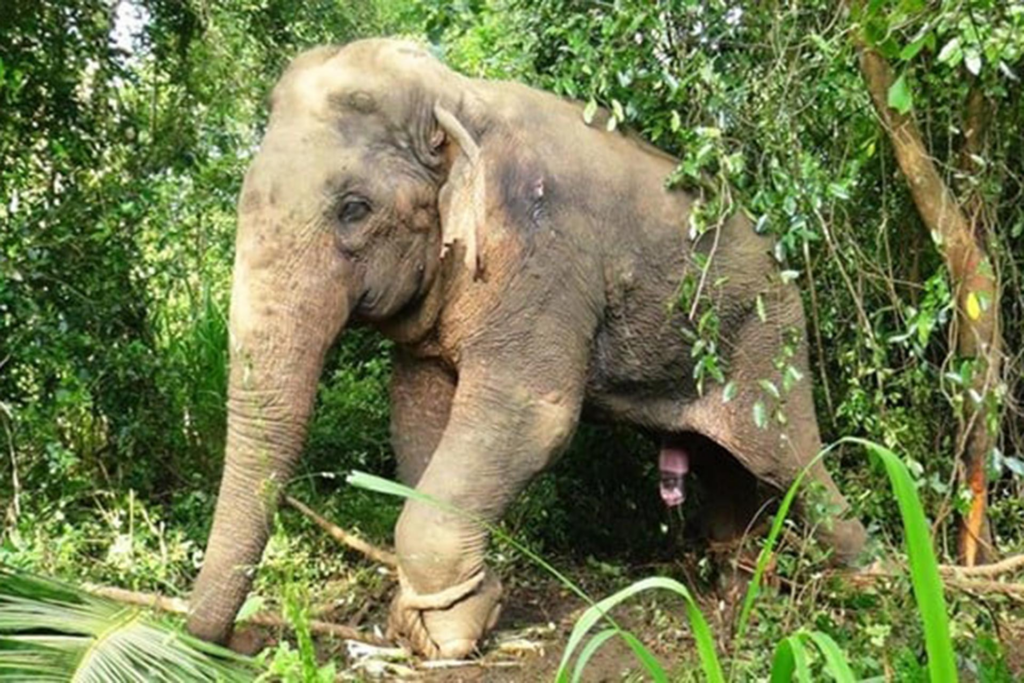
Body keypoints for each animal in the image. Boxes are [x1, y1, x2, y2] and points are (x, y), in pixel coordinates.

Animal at [186, 37, 867, 659]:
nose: (236, 642)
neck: (456, 96)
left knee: (795, 466)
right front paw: (428, 620)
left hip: (768, 342)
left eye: (354, 209)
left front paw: (449, 634)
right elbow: (417, 414)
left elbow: (532, 416)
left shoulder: (545, 255)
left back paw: (868, 577)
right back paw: (739, 583)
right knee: (725, 464)